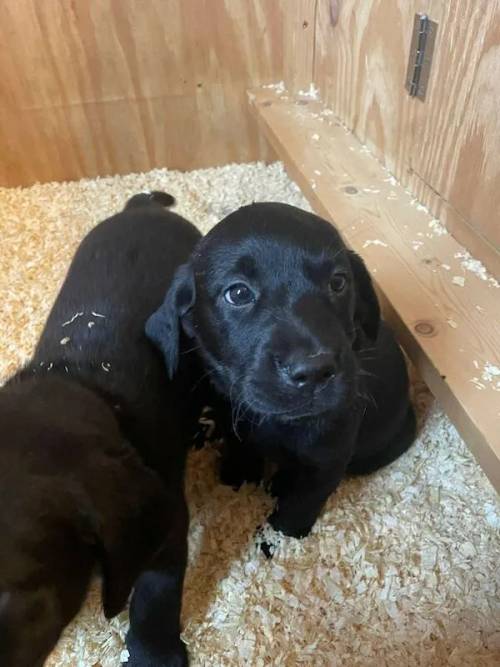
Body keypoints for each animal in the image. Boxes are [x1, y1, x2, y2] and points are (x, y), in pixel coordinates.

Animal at [146, 202, 416, 536]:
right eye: (238, 293)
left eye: (338, 282)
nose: (313, 371)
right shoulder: (235, 419)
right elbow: (241, 451)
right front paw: (236, 479)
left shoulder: (327, 461)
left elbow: (298, 507)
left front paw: (280, 536)